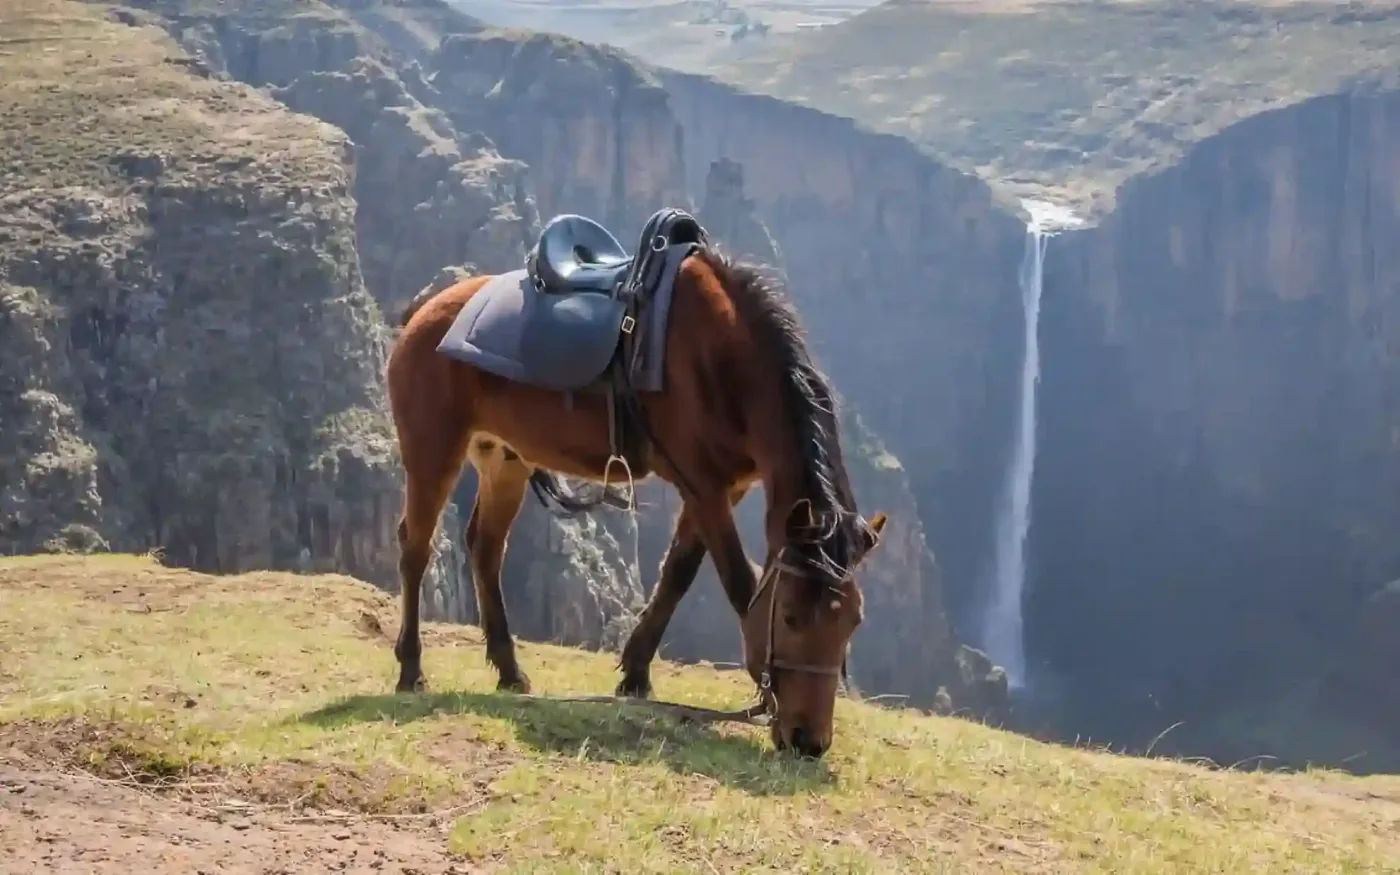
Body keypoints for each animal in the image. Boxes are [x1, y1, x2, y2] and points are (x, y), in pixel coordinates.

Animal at [386, 209, 888, 758]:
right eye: (793, 616)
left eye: (853, 621)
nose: (807, 741)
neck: (724, 360)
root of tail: (423, 311)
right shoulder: (702, 483)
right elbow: (737, 581)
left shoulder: (720, 487)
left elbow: (678, 573)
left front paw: (635, 675)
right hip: (433, 451)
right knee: (416, 547)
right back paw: (411, 669)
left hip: (506, 460)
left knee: (485, 546)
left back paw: (510, 671)